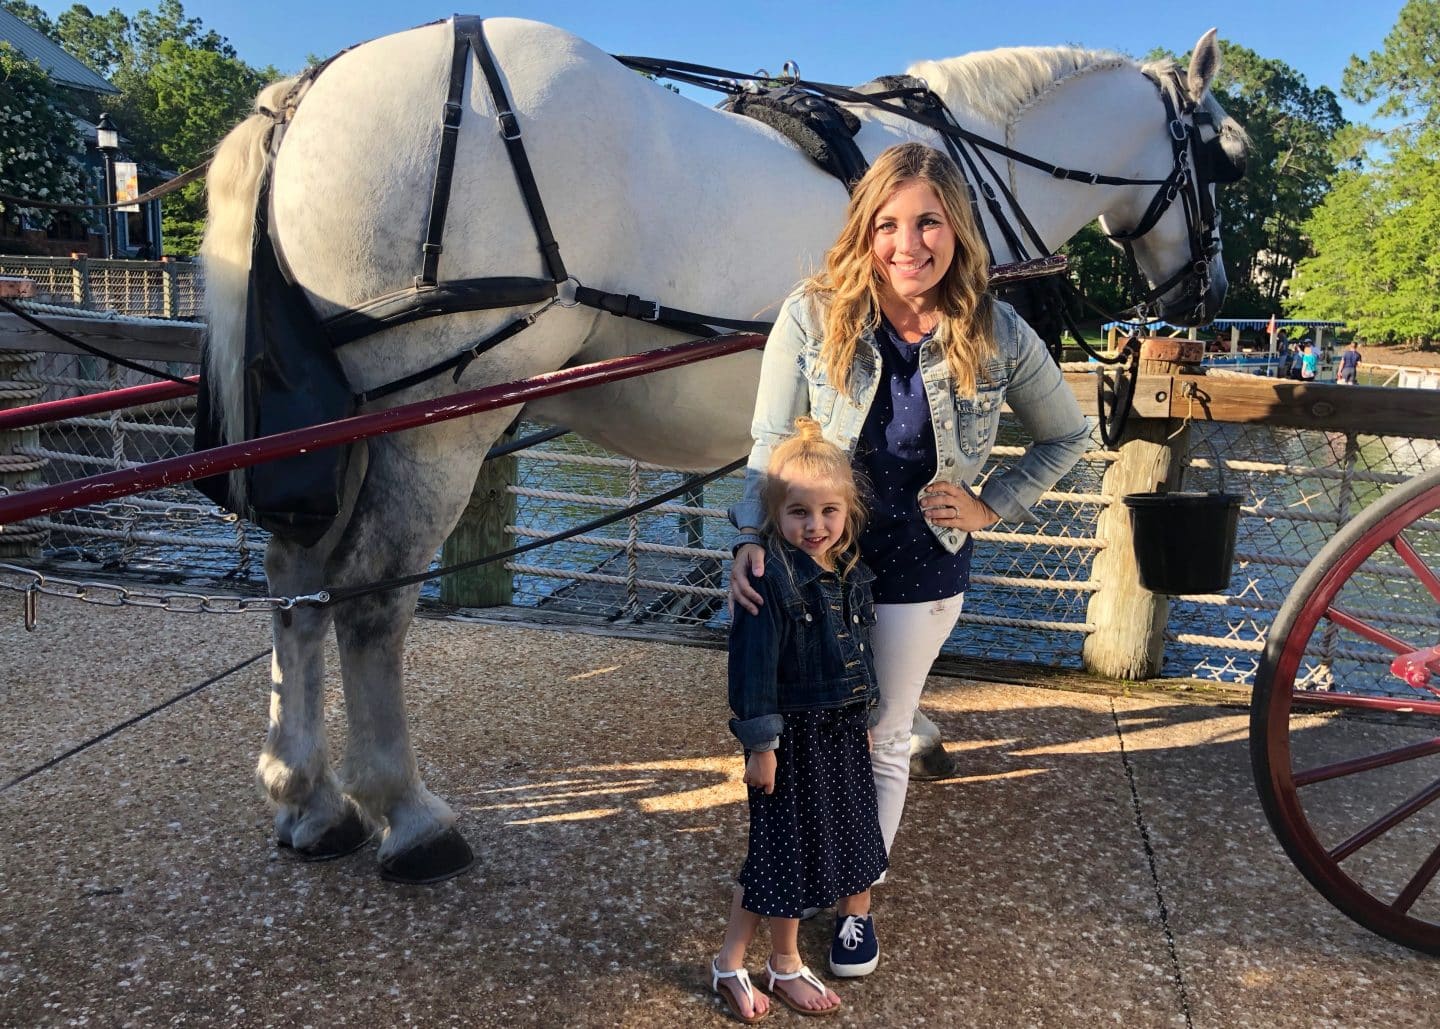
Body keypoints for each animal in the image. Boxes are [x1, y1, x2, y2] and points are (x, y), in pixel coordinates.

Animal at [203, 16, 1249, 886]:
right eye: (1226, 157)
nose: (1211, 294)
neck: (972, 169)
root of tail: (308, 92)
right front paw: (908, 729)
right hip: (431, 419)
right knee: (368, 599)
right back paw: (408, 813)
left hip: (337, 427)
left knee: (297, 578)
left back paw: (306, 795)